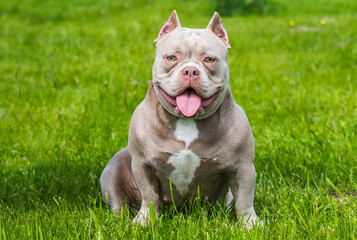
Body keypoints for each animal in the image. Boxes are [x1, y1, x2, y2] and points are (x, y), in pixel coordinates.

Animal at [98, 10, 258, 228]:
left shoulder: (243, 167)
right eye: (171, 58)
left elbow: (244, 199)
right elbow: (150, 196)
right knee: (118, 204)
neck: (187, 121)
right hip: (113, 169)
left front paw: (250, 225)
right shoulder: (142, 165)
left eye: (209, 59)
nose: (190, 70)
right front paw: (145, 221)